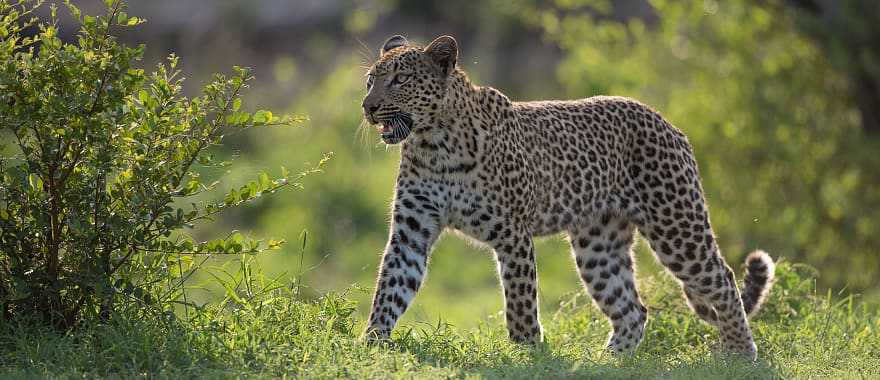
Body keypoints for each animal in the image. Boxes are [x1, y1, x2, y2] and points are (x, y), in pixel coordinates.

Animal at [360, 33, 772, 360]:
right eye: (370, 81)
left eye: (400, 79)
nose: (368, 107)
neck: (434, 144)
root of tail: (668, 123)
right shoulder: (411, 231)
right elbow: (391, 286)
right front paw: (371, 344)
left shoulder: (512, 235)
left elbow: (521, 301)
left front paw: (529, 353)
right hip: (597, 246)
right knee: (632, 308)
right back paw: (609, 361)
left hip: (676, 225)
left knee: (722, 279)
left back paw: (740, 353)